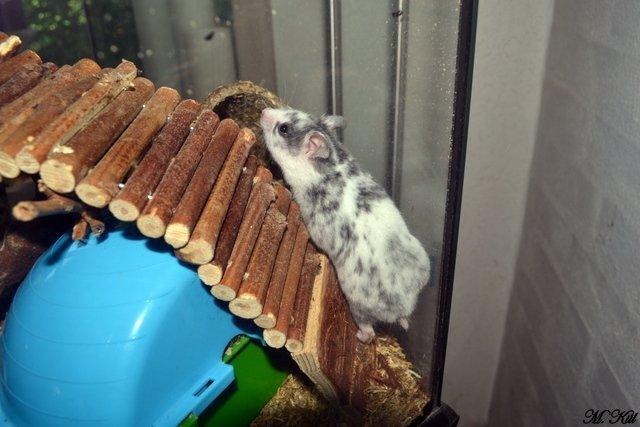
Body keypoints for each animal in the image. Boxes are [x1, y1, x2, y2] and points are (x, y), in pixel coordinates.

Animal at [259, 107, 430, 343]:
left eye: (284, 128)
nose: (264, 111)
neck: (332, 163)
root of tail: (403, 305)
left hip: (357, 304)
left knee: (369, 330)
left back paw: (360, 336)